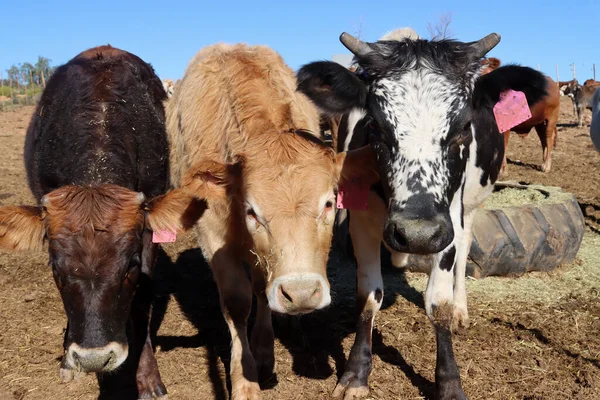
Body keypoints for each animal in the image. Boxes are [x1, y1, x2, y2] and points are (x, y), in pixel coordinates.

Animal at [298, 28, 552, 400]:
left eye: (463, 126)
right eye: (375, 125)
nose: (416, 234)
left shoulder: (446, 227)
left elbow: (438, 304)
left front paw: (448, 382)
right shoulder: (362, 225)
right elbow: (368, 298)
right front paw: (356, 373)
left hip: (468, 211)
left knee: (464, 252)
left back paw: (461, 308)